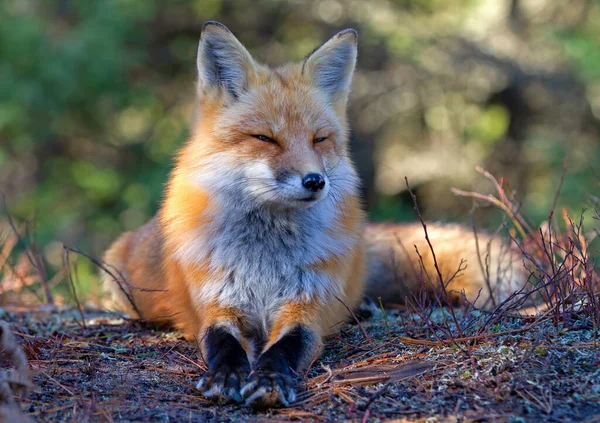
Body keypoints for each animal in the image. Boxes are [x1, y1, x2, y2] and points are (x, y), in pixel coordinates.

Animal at [104, 21, 524, 410]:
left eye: (318, 139)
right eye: (265, 138)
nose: (315, 180)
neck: (264, 261)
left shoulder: (309, 306)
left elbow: (290, 345)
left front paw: (270, 379)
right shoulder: (216, 304)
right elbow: (220, 342)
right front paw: (226, 375)